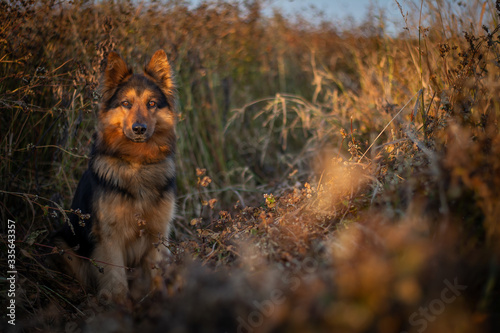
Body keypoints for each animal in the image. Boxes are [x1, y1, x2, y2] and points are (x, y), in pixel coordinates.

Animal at [55, 49, 177, 300]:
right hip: (62, 244)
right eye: (126, 103)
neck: (138, 163)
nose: (139, 129)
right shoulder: (109, 239)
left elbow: (157, 276)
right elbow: (116, 281)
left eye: (151, 103)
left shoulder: (158, 235)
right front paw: (118, 307)